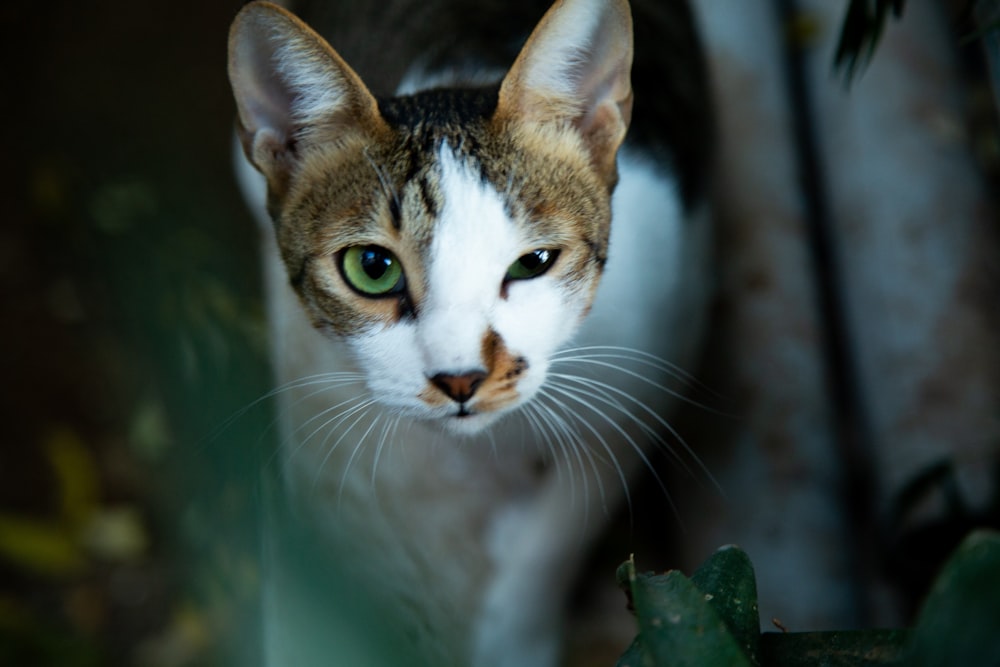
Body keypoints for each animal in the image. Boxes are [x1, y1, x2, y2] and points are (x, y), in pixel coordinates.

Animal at [229, 0, 712, 664]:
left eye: (534, 262)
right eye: (372, 267)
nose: (460, 379)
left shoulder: (654, 356)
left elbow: (570, 515)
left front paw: (514, 627)